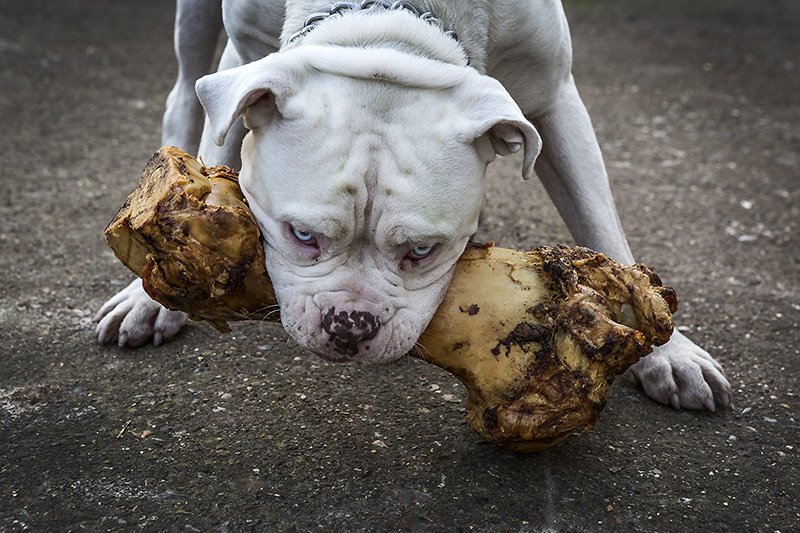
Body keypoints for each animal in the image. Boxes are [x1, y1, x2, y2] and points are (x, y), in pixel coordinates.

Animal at [95, 0, 732, 412]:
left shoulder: (556, 98)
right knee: (185, 95)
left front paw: (669, 352)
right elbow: (213, 153)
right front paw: (157, 289)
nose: (348, 325)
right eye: (301, 235)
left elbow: (601, 223)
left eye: (424, 250)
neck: (389, 39)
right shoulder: (244, 56)